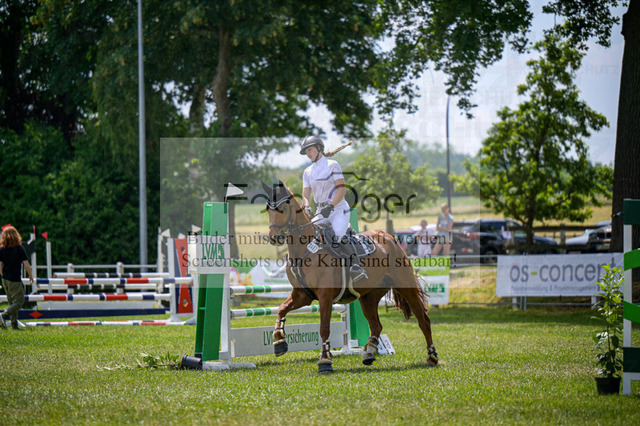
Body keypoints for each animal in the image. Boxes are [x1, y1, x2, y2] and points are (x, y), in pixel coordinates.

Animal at [262, 181, 438, 373]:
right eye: (268, 208)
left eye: (284, 207)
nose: (274, 237)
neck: (304, 250)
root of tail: (389, 237)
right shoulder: (302, 295)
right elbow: (281, 309)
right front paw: (279, 342)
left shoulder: (325, 296)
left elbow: (324, 328)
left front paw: (325, 361)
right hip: (369, 296)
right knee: (376, 325)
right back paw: (369, 353)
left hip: (406, 287)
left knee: (424, 321)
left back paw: (432, 357)